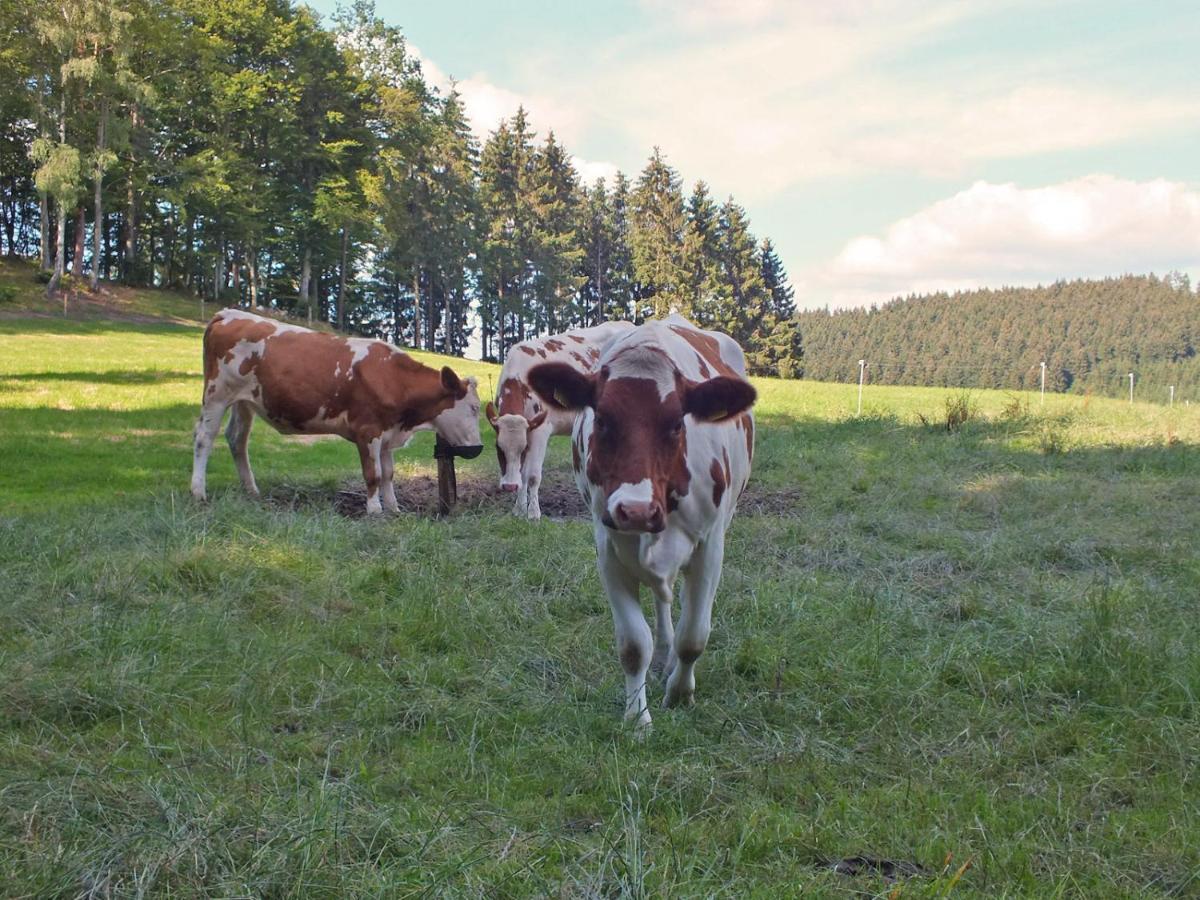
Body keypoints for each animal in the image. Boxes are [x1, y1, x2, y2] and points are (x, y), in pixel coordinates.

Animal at [192, 309, 482, 513]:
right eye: (474, 408)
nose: (478, 448)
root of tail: (226, 314)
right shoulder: (367, 431)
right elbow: (374, 474)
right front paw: (375, 510)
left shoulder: (388, 433)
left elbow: (388, 474)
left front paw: (395, 509)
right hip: (217, 395)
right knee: (204, 439)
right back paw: (198, 493)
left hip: (245, 402)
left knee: (237, 440)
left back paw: (251, 491)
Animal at [487, 321, 638, 520]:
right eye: (498, 448)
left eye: (524, 448)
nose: (509, 486)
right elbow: (523, 474)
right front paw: (519, 510)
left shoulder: (541, 429)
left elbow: (532, 475)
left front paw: (533, 513)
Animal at [530, 314, 753, 729]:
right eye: (602, 419)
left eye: (677, 424)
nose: (634, 510)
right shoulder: (609, 549)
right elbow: (634, 644)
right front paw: (637, 718)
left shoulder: (711, 547)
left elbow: (694, 636)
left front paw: (679, 693)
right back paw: (663, 653)